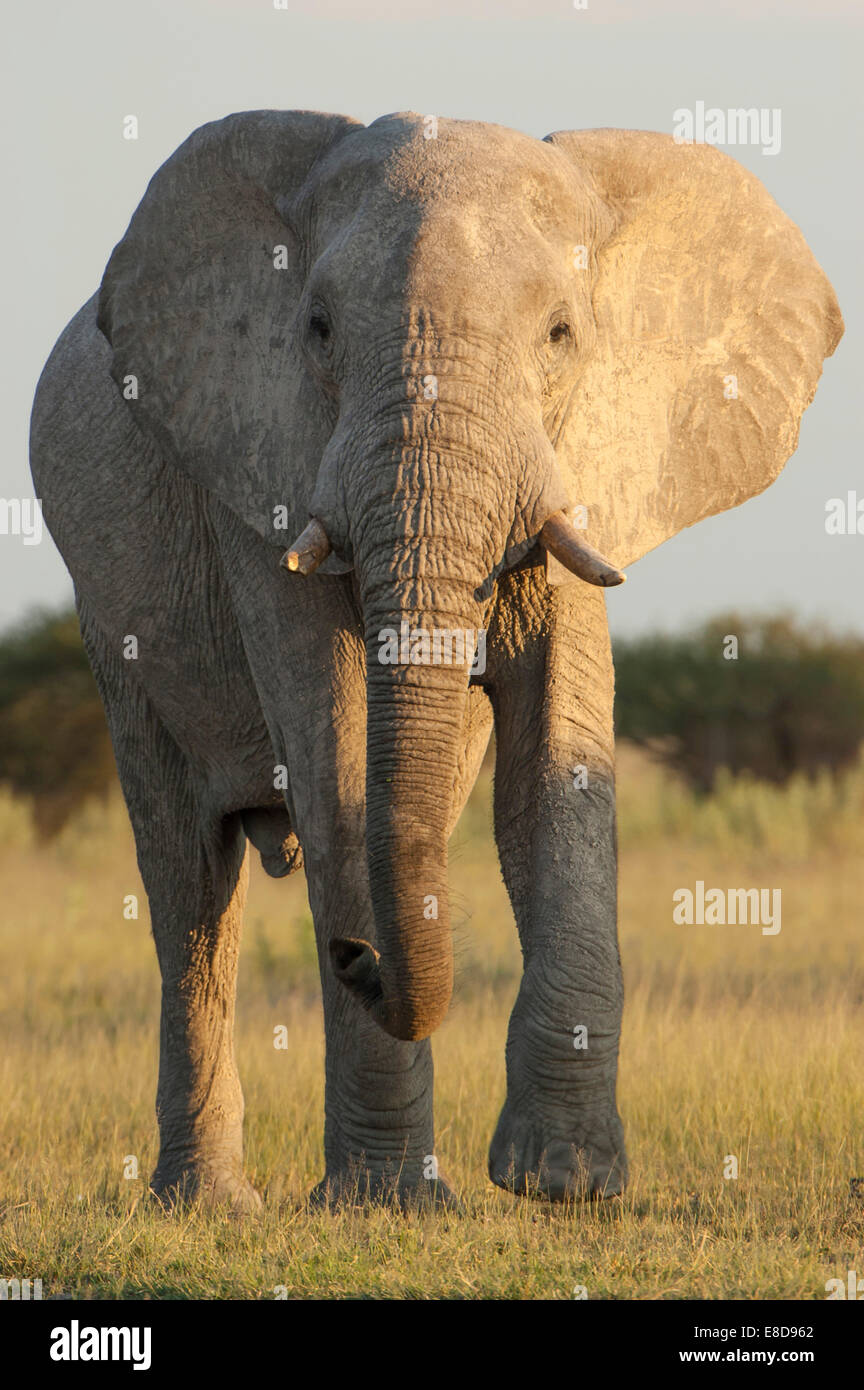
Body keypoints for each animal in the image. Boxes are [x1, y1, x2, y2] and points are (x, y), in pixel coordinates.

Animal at [30, 108, 844, 1206]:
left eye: (561, 336)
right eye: (318, 330)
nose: (353, 955)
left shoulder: (578, 466)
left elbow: (558, 754)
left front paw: (564, 1184)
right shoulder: (262, 460)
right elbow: (334, 751)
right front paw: (389, 1206)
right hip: (109, 619)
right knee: (187, 883)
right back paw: (208, 1204)